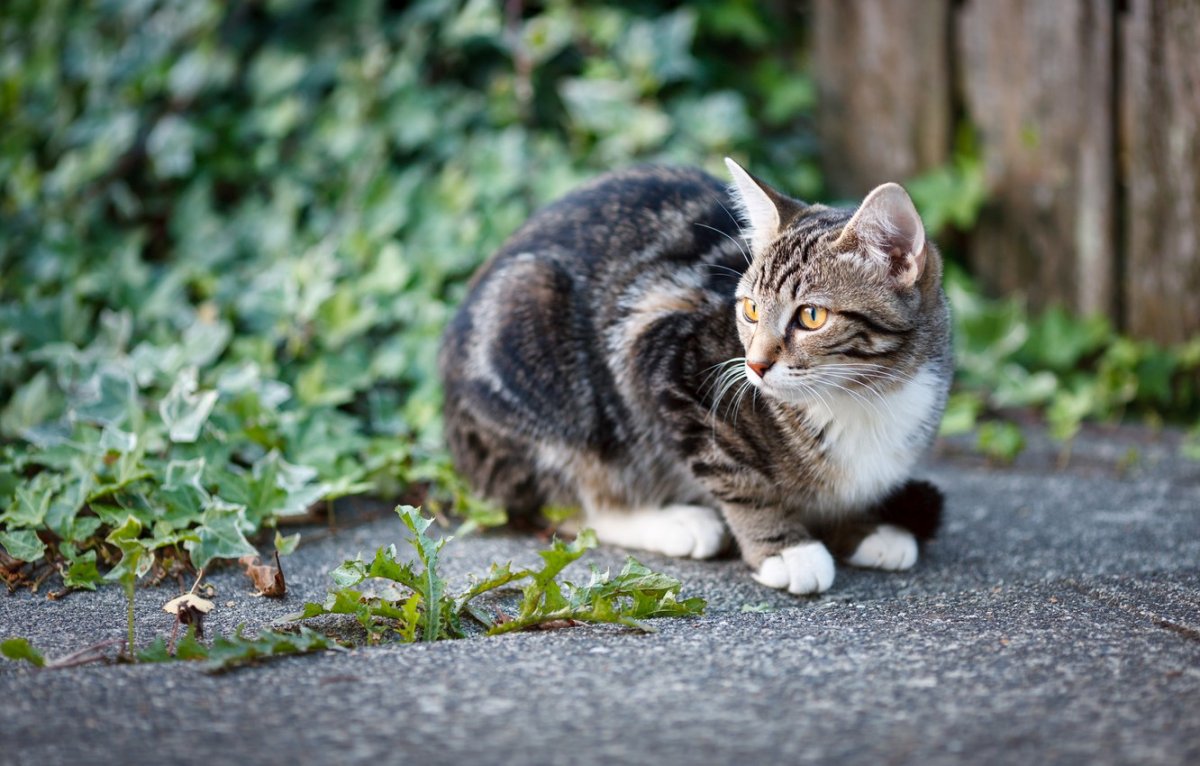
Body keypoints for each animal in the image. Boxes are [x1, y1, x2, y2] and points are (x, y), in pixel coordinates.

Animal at [436, 158, 950, 597]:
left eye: (811, 316)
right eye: (750, 309)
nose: (755, 365)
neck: (862, 397)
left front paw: (863, 526)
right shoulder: (660, 356)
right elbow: (732, 473)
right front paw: (784, 548)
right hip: (535, 344)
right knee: (562, 501)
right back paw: (673, 523)